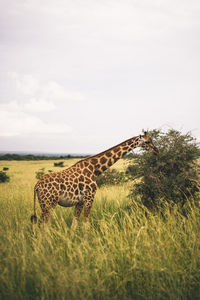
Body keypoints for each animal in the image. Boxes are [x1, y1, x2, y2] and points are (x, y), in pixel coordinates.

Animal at [30, 131, 159, 230]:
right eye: (147, 142)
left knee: (45, 225)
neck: (94, 170)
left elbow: (74, 225)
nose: (156, 151)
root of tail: (37, 185)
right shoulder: (89, 198)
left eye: (151, 140)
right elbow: (86, 225)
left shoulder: (80, 202)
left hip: (45, 203)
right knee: (40, 225)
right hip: (49, 203)